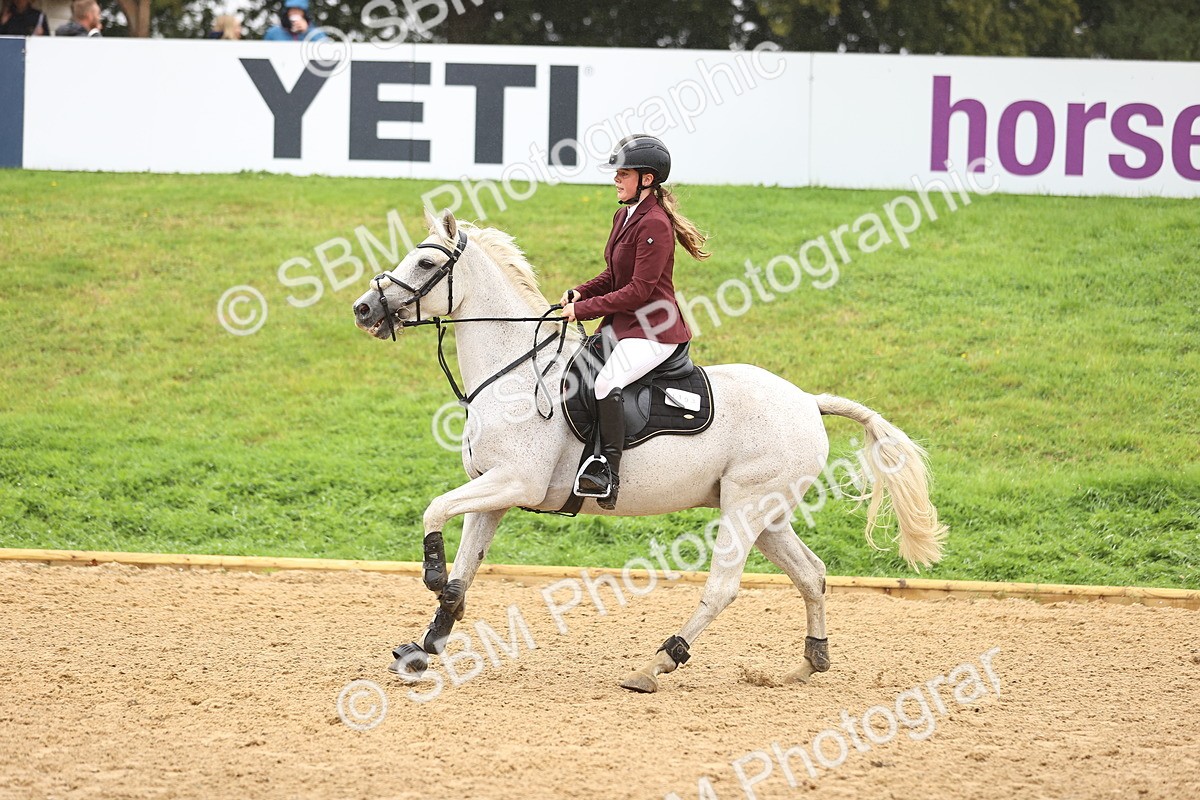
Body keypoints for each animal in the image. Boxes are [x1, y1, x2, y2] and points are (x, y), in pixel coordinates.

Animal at [352, 209, 947, 693]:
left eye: (426, 261)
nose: (362, 309)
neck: (515, 372)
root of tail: (807, 401)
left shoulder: (515, 481)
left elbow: (434, 513)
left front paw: (429, 576)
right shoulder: (494, 492)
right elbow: (463, 573)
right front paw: (424, 647)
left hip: (746, 507)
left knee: (724, 587)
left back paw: (658, 662)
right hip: (768, 513)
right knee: (812, 574)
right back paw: (807, 663)